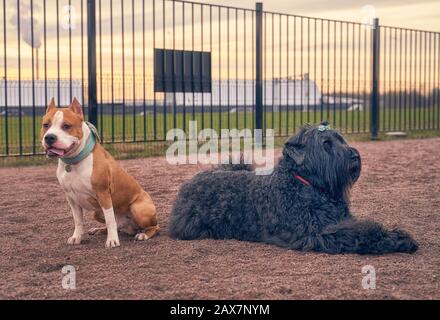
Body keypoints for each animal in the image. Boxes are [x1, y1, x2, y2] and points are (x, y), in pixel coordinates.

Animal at [41, 97, 160, 248]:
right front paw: (76, 237)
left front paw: (112, 240)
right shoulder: (72, 199)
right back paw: (98, 230)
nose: (49, 137)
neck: (73, 162)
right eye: (46, 125)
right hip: (96, 213)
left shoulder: (103, 194)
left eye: (66, 126)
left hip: (138, 209)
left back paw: (143, 234)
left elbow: (110, 221)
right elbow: (78, 221)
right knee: (117, 225)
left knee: (154, 227)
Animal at [170, 122, 418, 255]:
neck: (306, 184)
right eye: (326, 144)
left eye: (341, 139)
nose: (354, 155)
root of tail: (189, 183)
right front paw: (394, 239)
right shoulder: (316, 233)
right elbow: (359, 232)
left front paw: (398, 237)